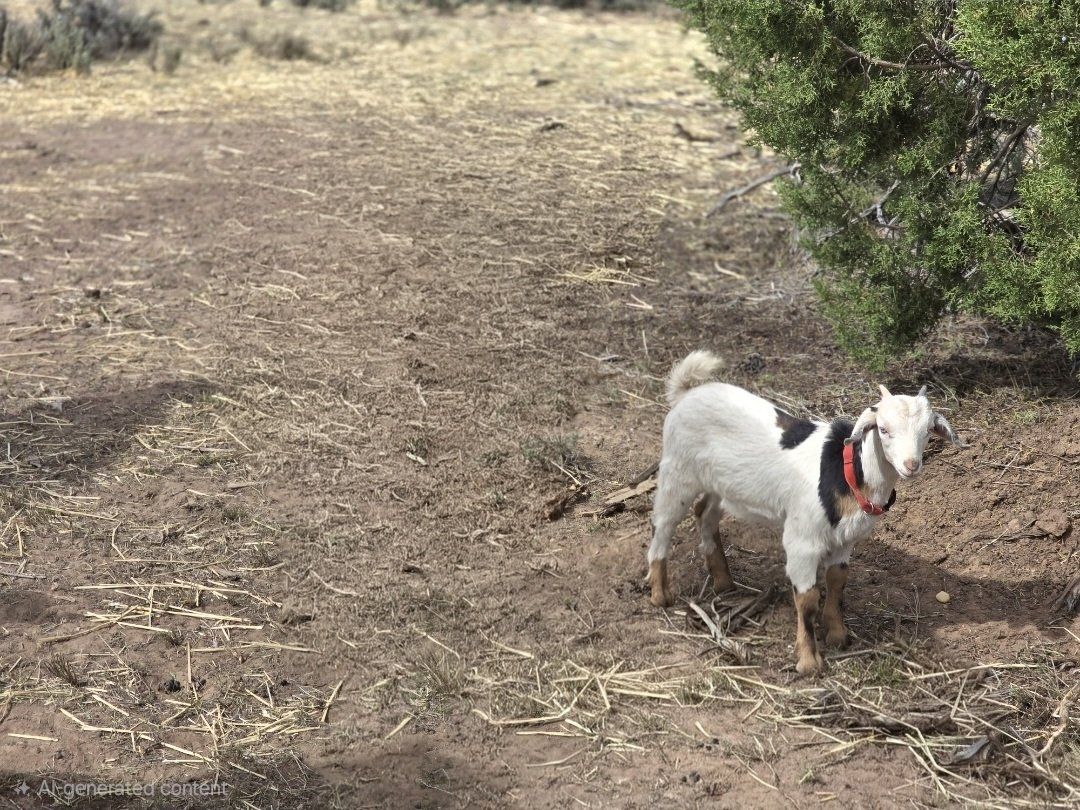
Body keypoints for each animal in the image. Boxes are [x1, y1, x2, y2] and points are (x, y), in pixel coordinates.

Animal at [646, 350, 965, 674]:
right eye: (884, 429)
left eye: (927, 433)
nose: (911, 465)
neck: (846, 472)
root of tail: (687, 393)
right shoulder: (803, 539)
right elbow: (807, 598)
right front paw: (809, 660)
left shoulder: (845, 539)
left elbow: (837, 580)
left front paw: (837, 635)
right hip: (678, 470)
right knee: (664, 523)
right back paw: (660, 594)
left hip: (717, 483)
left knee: (705, 512)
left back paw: (724, 582)